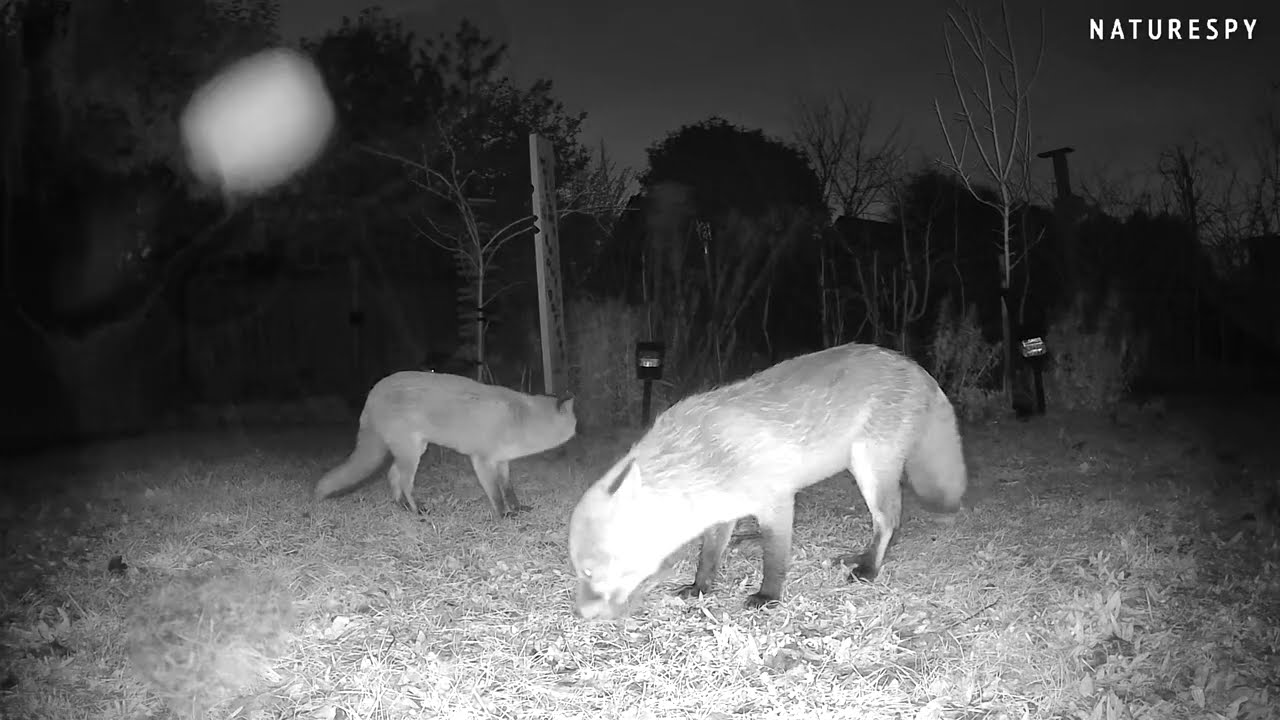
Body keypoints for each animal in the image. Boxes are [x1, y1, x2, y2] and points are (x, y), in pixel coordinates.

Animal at [314, 371, 577, 517]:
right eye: (575, 424)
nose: (578, 434)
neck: (521, 419)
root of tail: (372, 394)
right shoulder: (482, 460)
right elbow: (495, 493)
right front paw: (504, 515)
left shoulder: (502, 461)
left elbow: (508, 489)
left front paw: (518, 509)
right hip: (411, 453)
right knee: (404, 482)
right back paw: (417, 510)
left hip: (413, 450)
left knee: (392, 475)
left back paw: (402, 507)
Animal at [568, 342, 968, 620]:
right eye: (579, 570)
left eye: (589, 570)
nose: (580, 614)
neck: (703, 454)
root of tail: (910, 362)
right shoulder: (723, 512)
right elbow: (708, 558)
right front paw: (700, 588)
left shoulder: (775, 502)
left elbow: (774, 559)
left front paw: (769, 597)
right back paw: (858, 557)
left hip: (870, 469)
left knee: (889, 521)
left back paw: (869, 569)